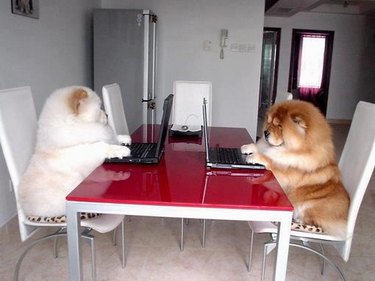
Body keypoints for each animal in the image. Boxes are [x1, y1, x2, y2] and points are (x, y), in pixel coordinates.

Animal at [18, 85, 132, 217]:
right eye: (99, 107)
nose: (107, 115)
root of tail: (25, 210)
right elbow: (101, 145)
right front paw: (121, 150)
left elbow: (112, 137)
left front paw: (125, 138)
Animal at [242, 100, 352, 236]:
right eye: (269, 122)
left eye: (279, 126)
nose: (265, 132)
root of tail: (345, 220)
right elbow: (262, 148)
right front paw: (248, 147)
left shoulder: (285, 176)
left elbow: (270, 160)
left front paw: (254, 157)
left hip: (311, 205)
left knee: (315, 225)